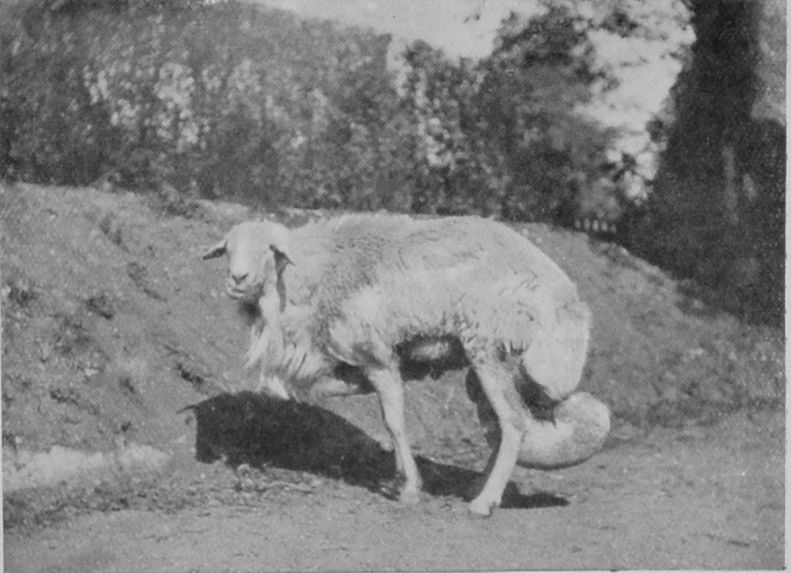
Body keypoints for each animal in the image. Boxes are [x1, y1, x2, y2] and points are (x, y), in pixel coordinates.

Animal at [202, 214, 610, 516]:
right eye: (227, 249)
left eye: (270, 250)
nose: (237, 279)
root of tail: (569, 303)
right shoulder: (365, 361)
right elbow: (327, 387)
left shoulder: (377, 357)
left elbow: (394, 421)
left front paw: (410, 488)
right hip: (489, 367)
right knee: (502, 423)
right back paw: (477, 488)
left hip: (489, 349)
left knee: (514, 422)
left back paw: (483, 502)